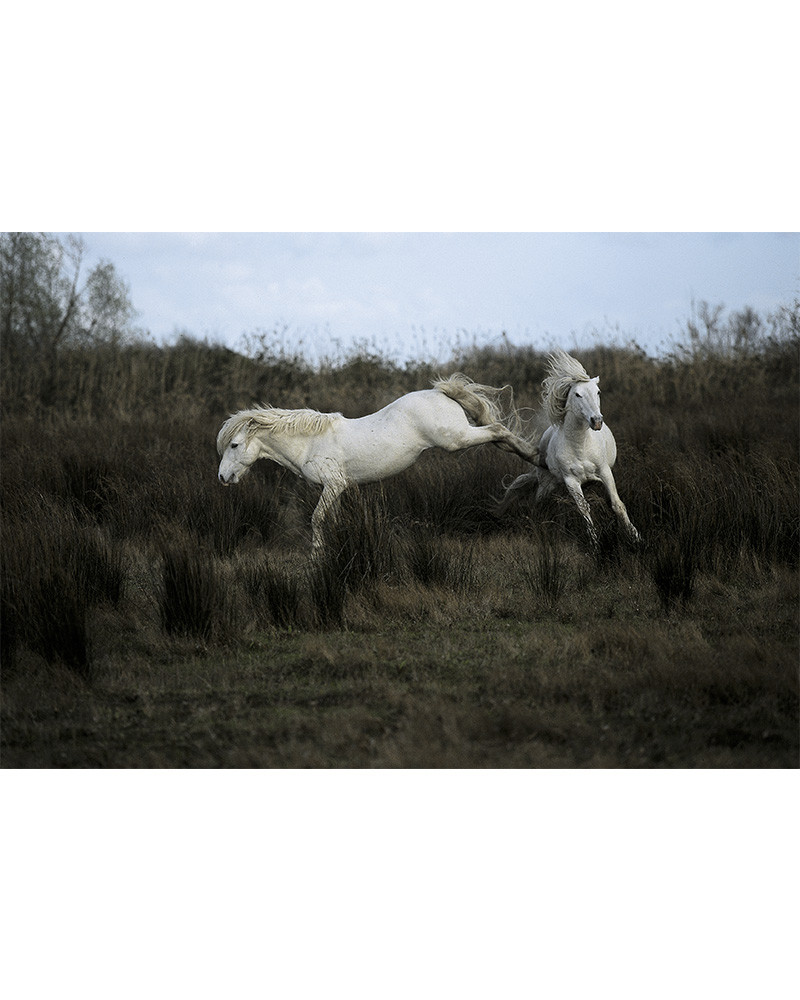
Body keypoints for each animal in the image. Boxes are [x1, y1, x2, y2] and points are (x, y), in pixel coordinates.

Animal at [216, 374, 536, 548]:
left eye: (234, 445)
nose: (222, 478)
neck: (310, 442)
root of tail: (438, 392)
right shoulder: (337, 490)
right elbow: (333, 521)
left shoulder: (333, 484)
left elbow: (317, 519)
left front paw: (316, 557)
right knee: (500, 436)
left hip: (456, 439)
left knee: (499, 430)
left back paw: (535, 459)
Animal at [496, 352, 640, 548]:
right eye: (578, 394)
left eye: (598, 392)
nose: (596, 421)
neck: (580, 446)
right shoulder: (571, 480)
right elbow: (584, 509)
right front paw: (595, 543)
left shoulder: (605, 472)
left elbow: (617, 504)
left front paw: (635, 536)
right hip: (547, 484)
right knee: (539, 502)